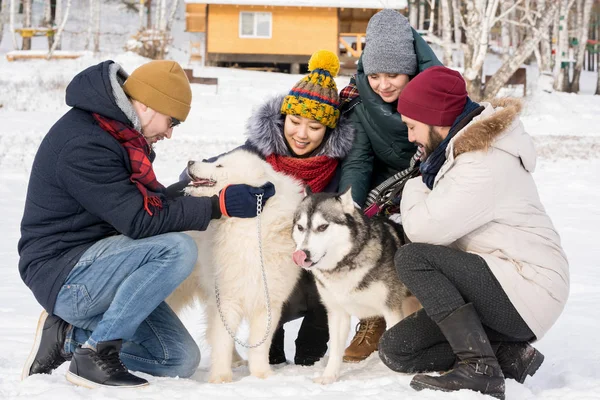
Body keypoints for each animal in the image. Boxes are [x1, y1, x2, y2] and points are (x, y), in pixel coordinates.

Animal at [166, 148, 304, 382]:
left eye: (219, 166)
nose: (190, 161)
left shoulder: (267, 302)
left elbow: (259, 345)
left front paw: (261, 375)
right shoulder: (226, 299)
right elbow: (222, 340)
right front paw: (221, 378)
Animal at [292, 189, 420, 382]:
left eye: (322, 227)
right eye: (300, 227)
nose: (302, 254)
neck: (345, 264)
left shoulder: (391, 309)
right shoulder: (337, 312)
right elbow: (335, 350)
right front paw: (329, 377)